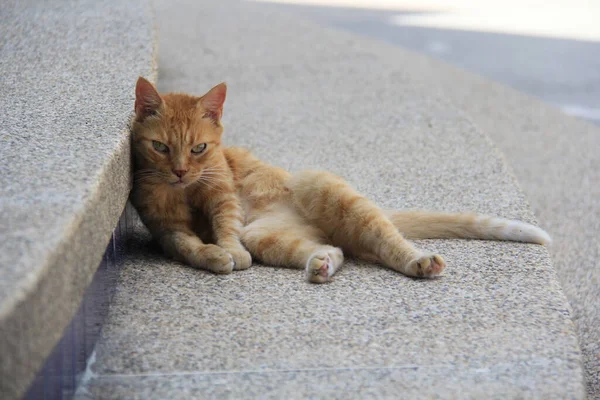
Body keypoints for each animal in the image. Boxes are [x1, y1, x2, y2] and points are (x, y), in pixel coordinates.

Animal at [130, 78, 548, 282]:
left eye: (199, 148)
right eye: (161, 148)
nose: (180, 171)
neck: (184, 192)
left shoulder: (224, 196)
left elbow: (225, 226)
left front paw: (228, 250)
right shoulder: (168, 229)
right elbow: (189, 246)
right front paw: (214, 255)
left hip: (319, 186)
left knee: (386, 241)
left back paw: (418, 262)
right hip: (267, 235)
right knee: (334, 249)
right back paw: (323, 264)